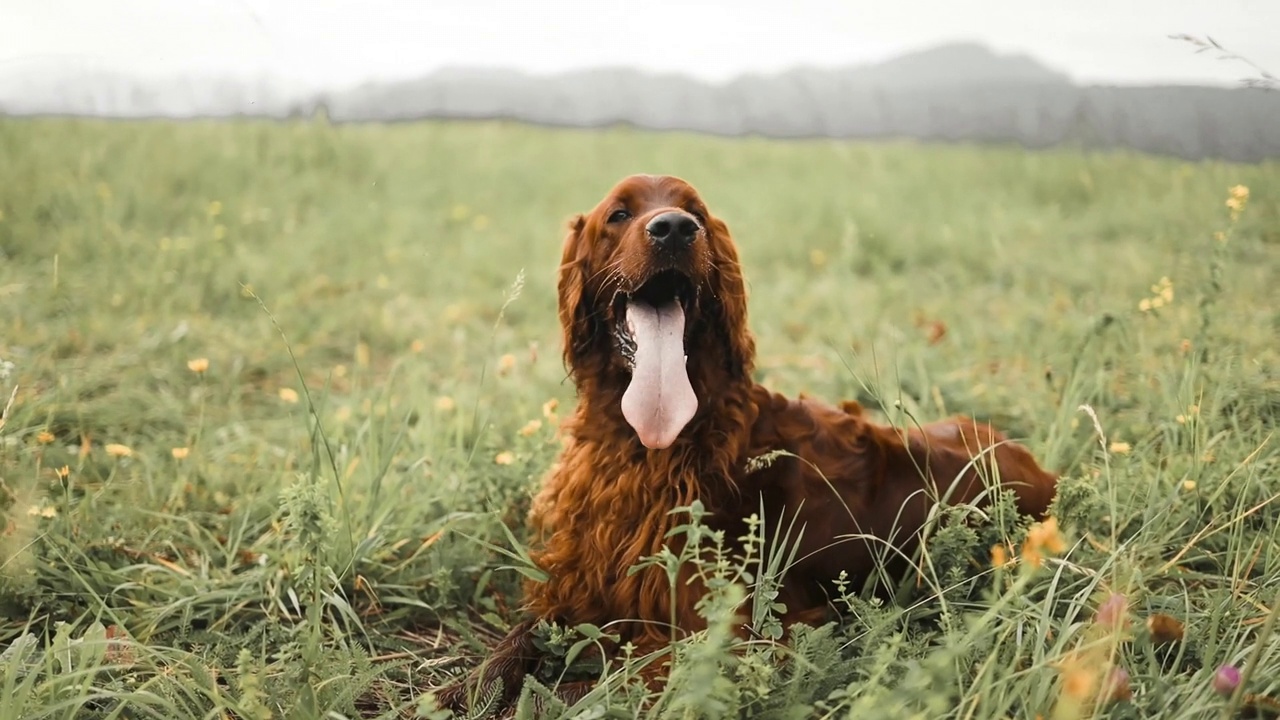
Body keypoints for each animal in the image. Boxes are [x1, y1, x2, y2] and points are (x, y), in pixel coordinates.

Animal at [435, 174, 1054, 712]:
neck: (644, 445)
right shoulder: (574, 580)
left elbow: (615, 680)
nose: (674, 229)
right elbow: (515, 640)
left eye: (697, 213)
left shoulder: (741, 632)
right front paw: (463, 688)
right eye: (619, 214)